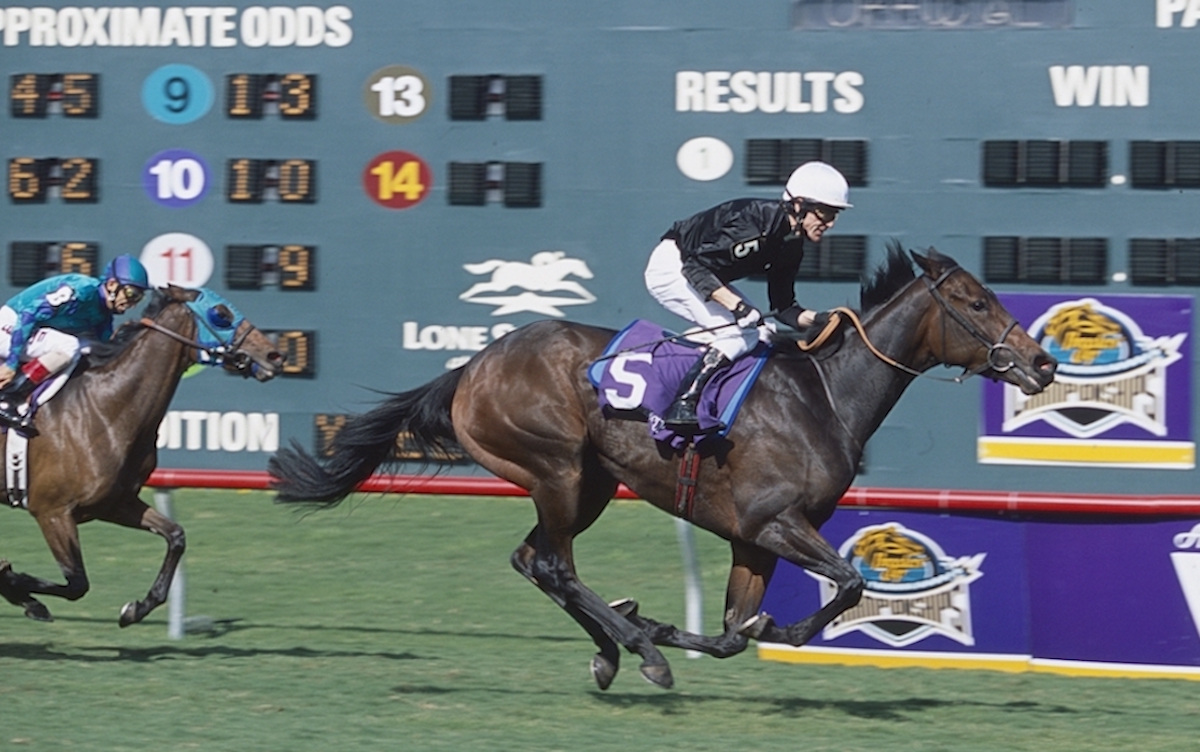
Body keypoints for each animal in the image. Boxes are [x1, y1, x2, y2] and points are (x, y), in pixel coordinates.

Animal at [0, 285, 283, 628]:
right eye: (221, 314)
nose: (275, 356)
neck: (102, 409)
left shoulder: (115, 503)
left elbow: (176, 536)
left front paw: (136, 609)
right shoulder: (51, 511)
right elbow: (77, 583)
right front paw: (17, 587)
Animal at [270, 247, 1051, 690]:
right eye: (975, 301)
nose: (1043, 364)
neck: (823, 395)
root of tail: (473, 366)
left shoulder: (752, 538)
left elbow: (737, 629)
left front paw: (702, 627)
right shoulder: (774, 522)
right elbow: (849, 585)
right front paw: (694, 631)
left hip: (587, 482)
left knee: (533, 561)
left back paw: (615, 648)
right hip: (557, 468)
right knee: (554, 566)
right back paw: (640, 648)